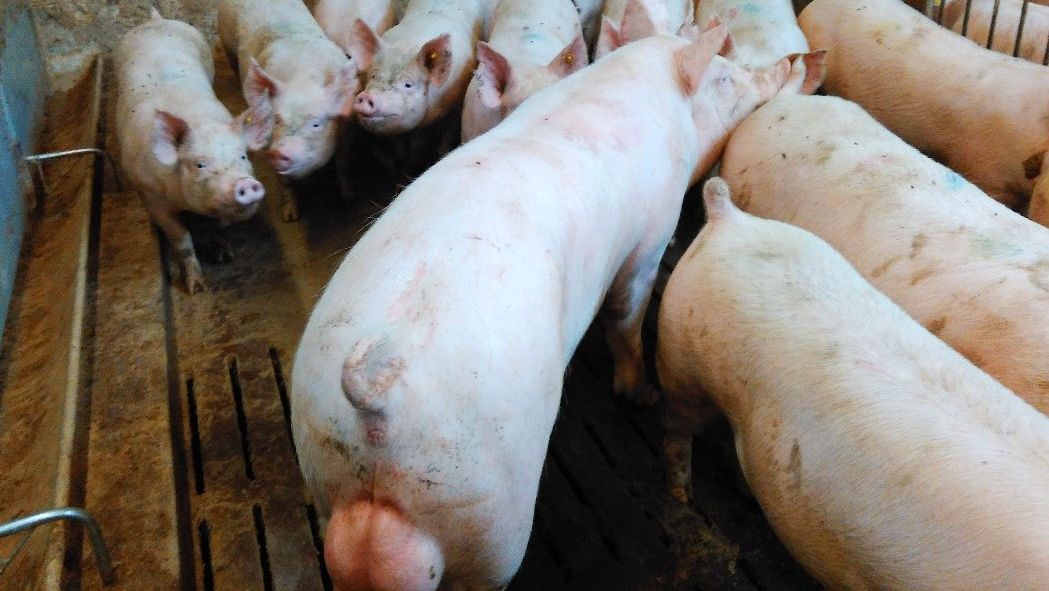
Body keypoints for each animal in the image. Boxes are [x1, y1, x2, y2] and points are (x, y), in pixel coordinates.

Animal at [115, 9, 267, 294]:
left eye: (243, 156)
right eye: (199, 164)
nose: (245, 183)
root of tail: (155, 20)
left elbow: (222, 230)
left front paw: (225, 257)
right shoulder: (152, 198)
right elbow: (182, 241)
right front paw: (196, 288)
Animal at [218, 0, 359, 222]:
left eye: (316, 123)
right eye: (276, 120)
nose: (279, 151)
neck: (302, 79)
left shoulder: (348, 127)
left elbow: (342, 162)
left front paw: (349, 199)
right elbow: (285, 182)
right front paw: (290, 217)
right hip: (225, 40)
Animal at [292, 27, 807, 591]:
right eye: (725, 78)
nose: (787, 65)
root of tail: (375, 399)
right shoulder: (648, 240)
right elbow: (626, 317)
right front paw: (641, 395)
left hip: (323, 469)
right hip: (488, 507)